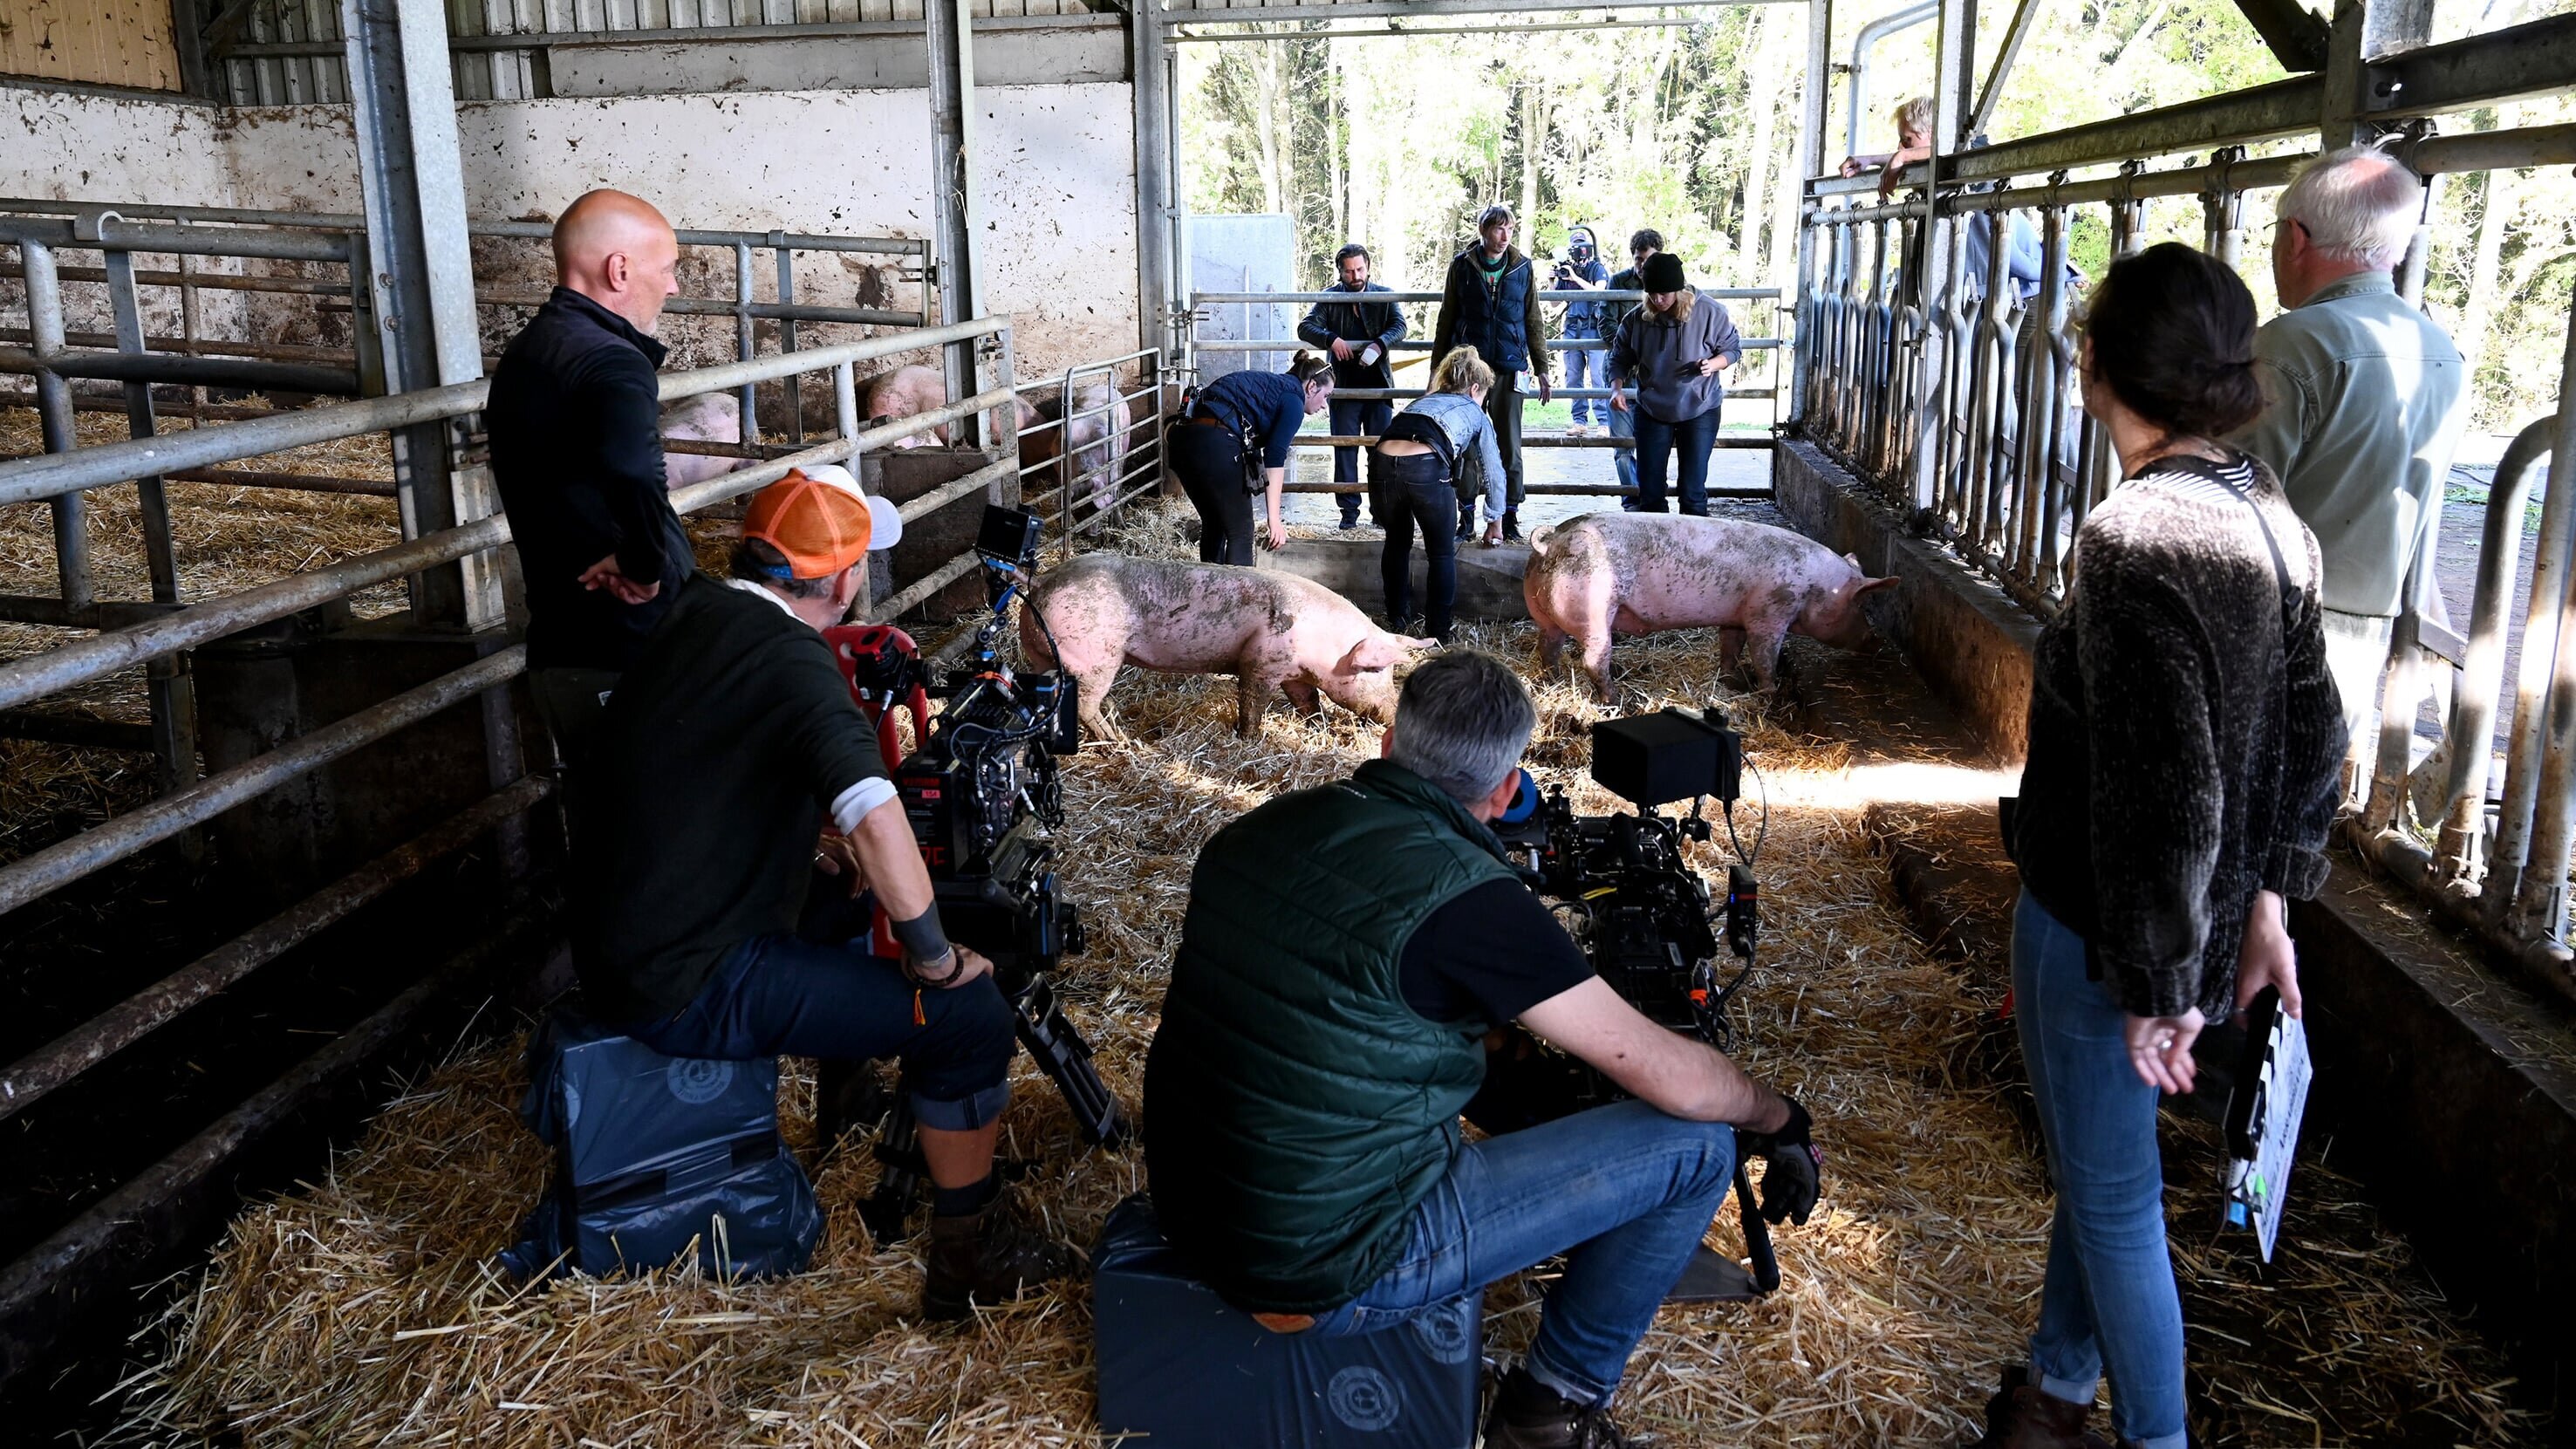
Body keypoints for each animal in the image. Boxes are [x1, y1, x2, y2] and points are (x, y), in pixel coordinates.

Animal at [1015, 549, 1442, 737]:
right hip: (1094, 658)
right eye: (1377, 669)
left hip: (1041, 655)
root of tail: (1042, 581)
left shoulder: (1294, 673)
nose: (1392, 714)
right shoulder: (1261, 661)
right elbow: (1251, 701)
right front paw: (1249, 737)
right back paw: (1121, 740)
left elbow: (1308, 703)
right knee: (1086, 704)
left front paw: (1319, 729)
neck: (1326, 646)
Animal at [1525, 513, 1896, 701]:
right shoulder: (1770, 612)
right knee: (1592, 657)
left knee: (1547, 645)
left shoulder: (1736, 617)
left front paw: (1730, 679)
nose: (1877, 641)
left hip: (1544, 611)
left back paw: (1553, 680)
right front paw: (1769, 692)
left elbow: (1730, 645)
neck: (1816, 586)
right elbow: (1764, 655)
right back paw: (1616, 698)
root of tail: (1552, 541)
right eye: (1862, 604)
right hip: (1594, 609)